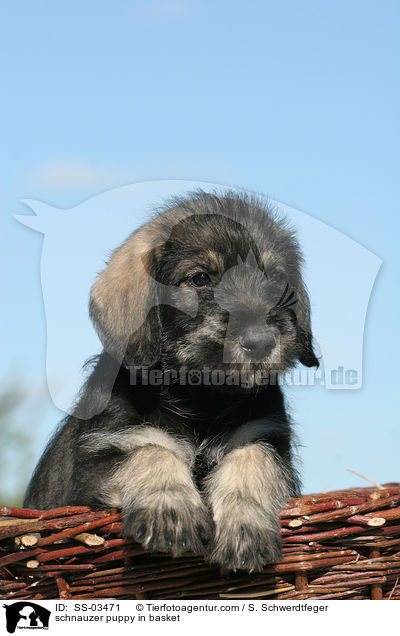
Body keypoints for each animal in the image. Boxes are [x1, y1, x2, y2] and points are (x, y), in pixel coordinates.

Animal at [25, 190, 318, 572]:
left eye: (277, 281)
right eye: (200, 279)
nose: (260, 342)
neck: (202, 399)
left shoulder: (266, 440)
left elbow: (252, 458)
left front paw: (244, 530)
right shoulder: (97, 469)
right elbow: (151, 450)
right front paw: (170, 512)